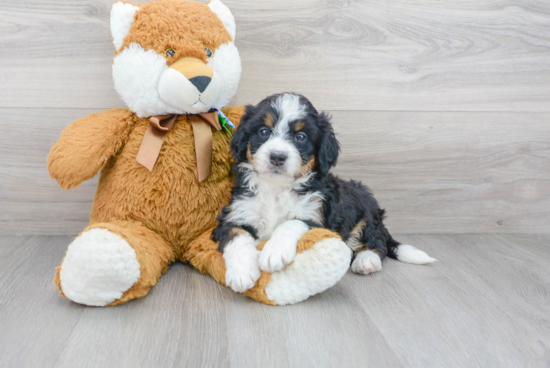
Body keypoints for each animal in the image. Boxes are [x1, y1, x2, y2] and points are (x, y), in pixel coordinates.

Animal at [213, 93, 438, 292]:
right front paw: (241, 272)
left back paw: (366, 260)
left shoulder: (316, 216)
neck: (277, 188)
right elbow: (236, 235)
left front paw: (274, 252)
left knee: (377, 242)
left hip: (366, 209)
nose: (277, 157)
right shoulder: (235, 213)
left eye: (301, 136)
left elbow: (290, 223)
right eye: (263, 132)